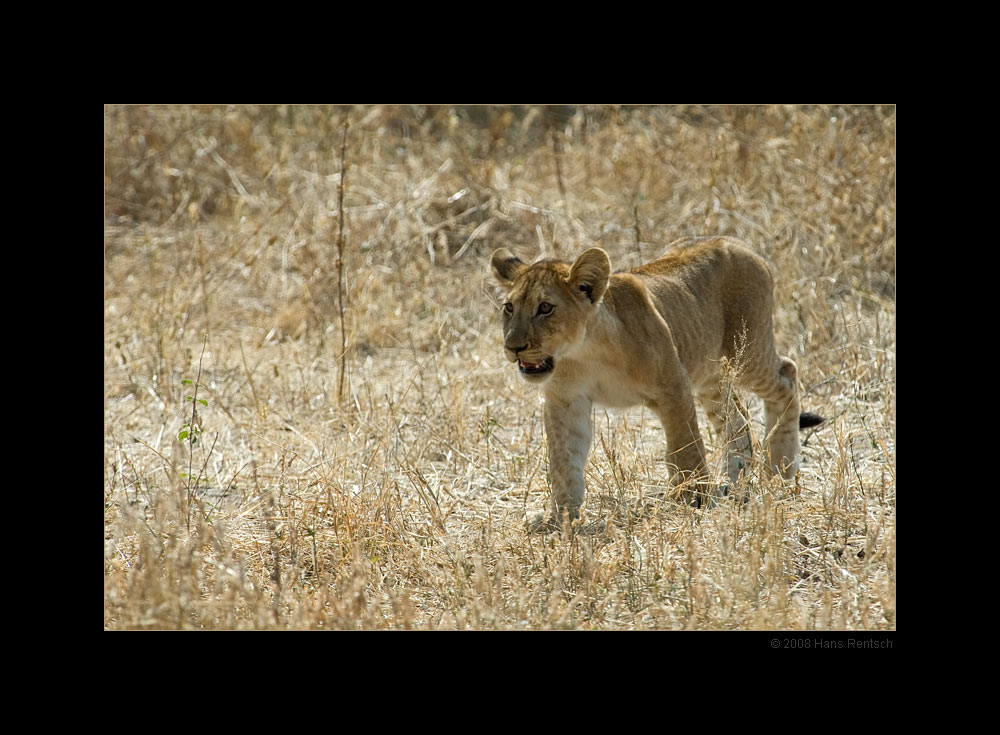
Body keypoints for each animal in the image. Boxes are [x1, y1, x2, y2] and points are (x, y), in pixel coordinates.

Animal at [489, 236, 822, 530]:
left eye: (545, 307)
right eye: (509, 307)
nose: (513, 347)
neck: (585, 352)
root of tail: (741, 245)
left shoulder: (674, 385)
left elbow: (684, 446)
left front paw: (693, 498)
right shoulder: (566, 401)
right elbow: (564, 461)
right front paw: (558, 516)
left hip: (748, 354)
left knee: (787, 375)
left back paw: (779, 469)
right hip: (711, 373)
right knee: (736, 420)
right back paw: (732, 482)